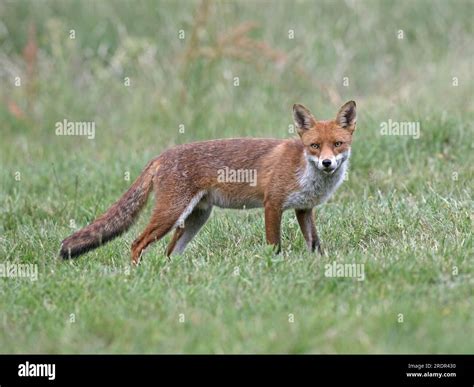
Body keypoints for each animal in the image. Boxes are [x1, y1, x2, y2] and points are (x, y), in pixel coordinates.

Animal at [60, 100, 356, 266]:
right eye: (314, 146)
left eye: (337, 144)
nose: (327, 163)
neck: (304, 170)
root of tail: (162, 155)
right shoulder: (272, 205)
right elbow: (274, 245)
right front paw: (275, 268)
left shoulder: (304, 209)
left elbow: (315, 244)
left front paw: (319, 265)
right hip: (170, 214)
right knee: (136, 243)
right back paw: (135, 275)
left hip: (195, 218)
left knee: (169, 253)